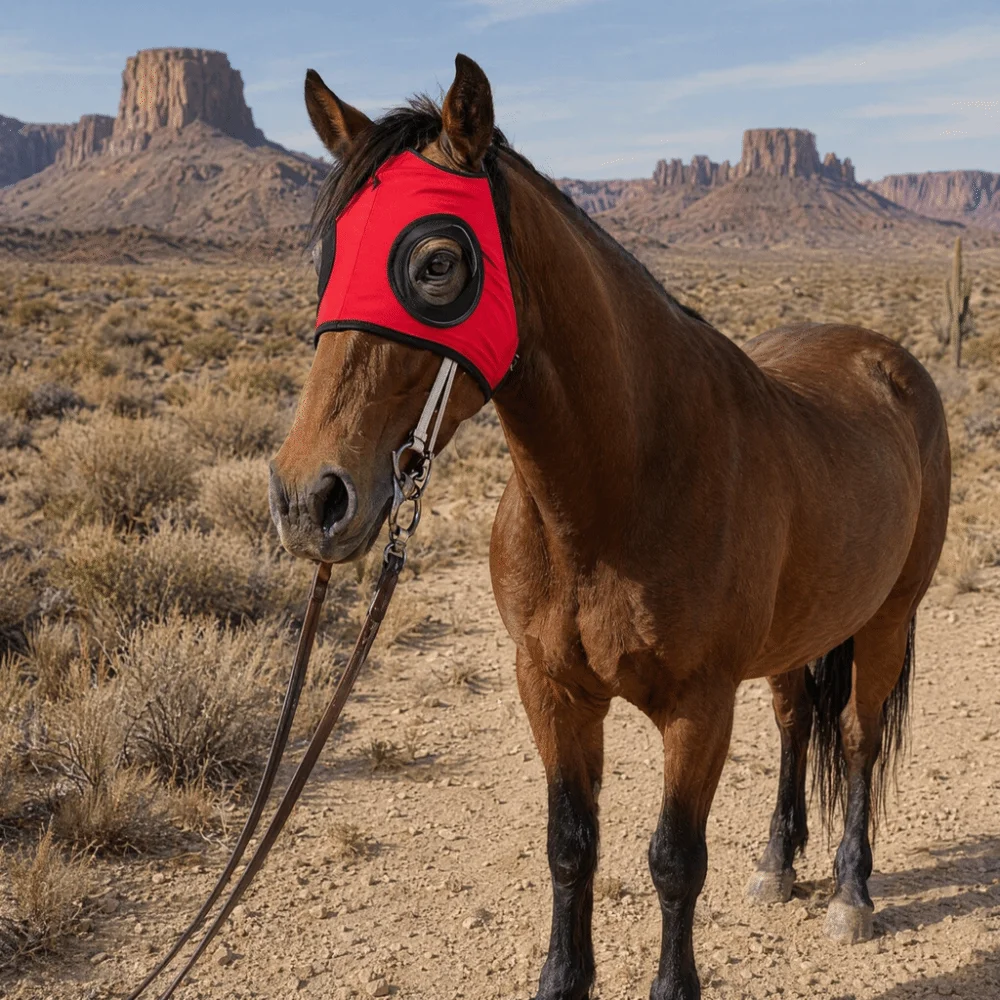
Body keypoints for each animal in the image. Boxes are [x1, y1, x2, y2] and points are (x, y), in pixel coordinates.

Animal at [268, 54, 951, 1000]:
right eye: (327, 258)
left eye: (437, 262)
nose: (309, 499)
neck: (614, 495)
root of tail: (889, 360)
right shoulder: (551, 688)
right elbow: (570, 846)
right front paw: (563, 977)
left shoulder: (698, 707)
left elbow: (674, 860)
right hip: (803, 631)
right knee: (792, 723)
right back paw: (778, 864)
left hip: (887, 617)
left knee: (855, 737)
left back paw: (851, 894)